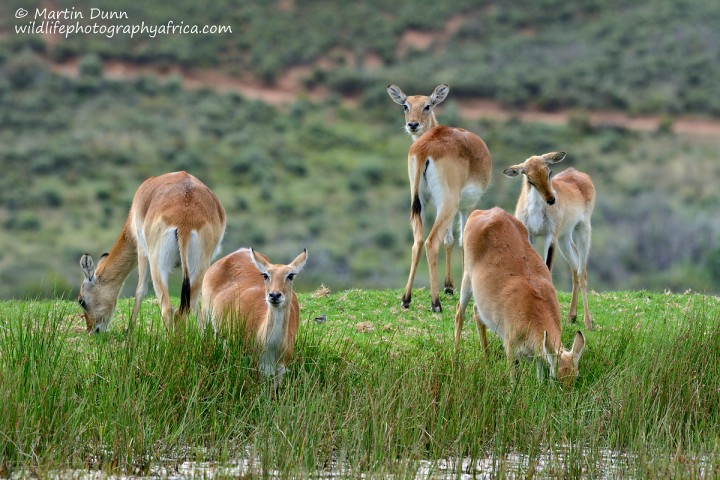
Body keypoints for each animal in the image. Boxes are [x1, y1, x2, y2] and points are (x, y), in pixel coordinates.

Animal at [76, 172, 225, 334]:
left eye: (81, 300)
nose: (92, 330)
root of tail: (185, 219)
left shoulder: (141, 251)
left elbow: (140, 290)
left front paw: (129, 331)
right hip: (199, 267)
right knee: (184, 310)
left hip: (157, 265)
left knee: (167, 309)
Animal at [388, 84, 496, 314]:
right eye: (405, 105)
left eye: (427, 105)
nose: (412, 124)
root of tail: (424, 149)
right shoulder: (465, 207)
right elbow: (462, 241)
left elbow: (450, 241)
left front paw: (449, 286)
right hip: (448, 203)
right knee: (431, 242)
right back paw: (435, 303)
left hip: (421, 203)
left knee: (418, 241)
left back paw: (406, 299)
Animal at [456, 207, 584, 386]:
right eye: (556, 379)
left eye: (576, 377)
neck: (532, 309)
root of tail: (482, 212)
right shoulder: (510, 346)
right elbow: (513, 379)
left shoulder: (538, 355)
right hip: (467, 279)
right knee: (459, 312)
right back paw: (455, 357)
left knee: (476, 311)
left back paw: (487, 359)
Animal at [500, 153, 596, 330]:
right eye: (530, 179)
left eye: (549, 172)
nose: (551, 199)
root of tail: (579, 174)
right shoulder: (530, 235)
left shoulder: (550, 237)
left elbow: (547, 268)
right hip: (564, 238)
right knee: (574, 268)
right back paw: (571, 317)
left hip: (583, 229)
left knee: (582, 272)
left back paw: (588, 322)